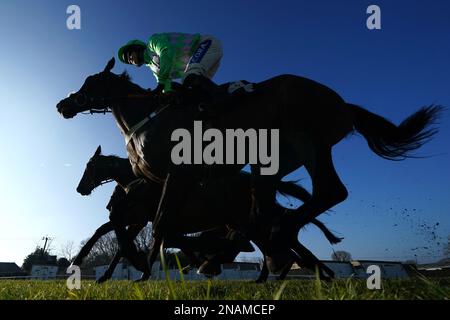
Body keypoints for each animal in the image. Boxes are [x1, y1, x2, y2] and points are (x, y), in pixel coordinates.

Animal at [55, 58, 440, 272]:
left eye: (90, 83)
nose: (63, 104)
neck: (148, 117)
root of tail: (343, 102)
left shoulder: (174, 177)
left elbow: (159, 224)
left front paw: (146, 266)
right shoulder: (155, 185)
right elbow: (128, 226)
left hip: (304, 140)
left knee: (325, 194)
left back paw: (272, 243)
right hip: (271, 163)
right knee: (278, 209)